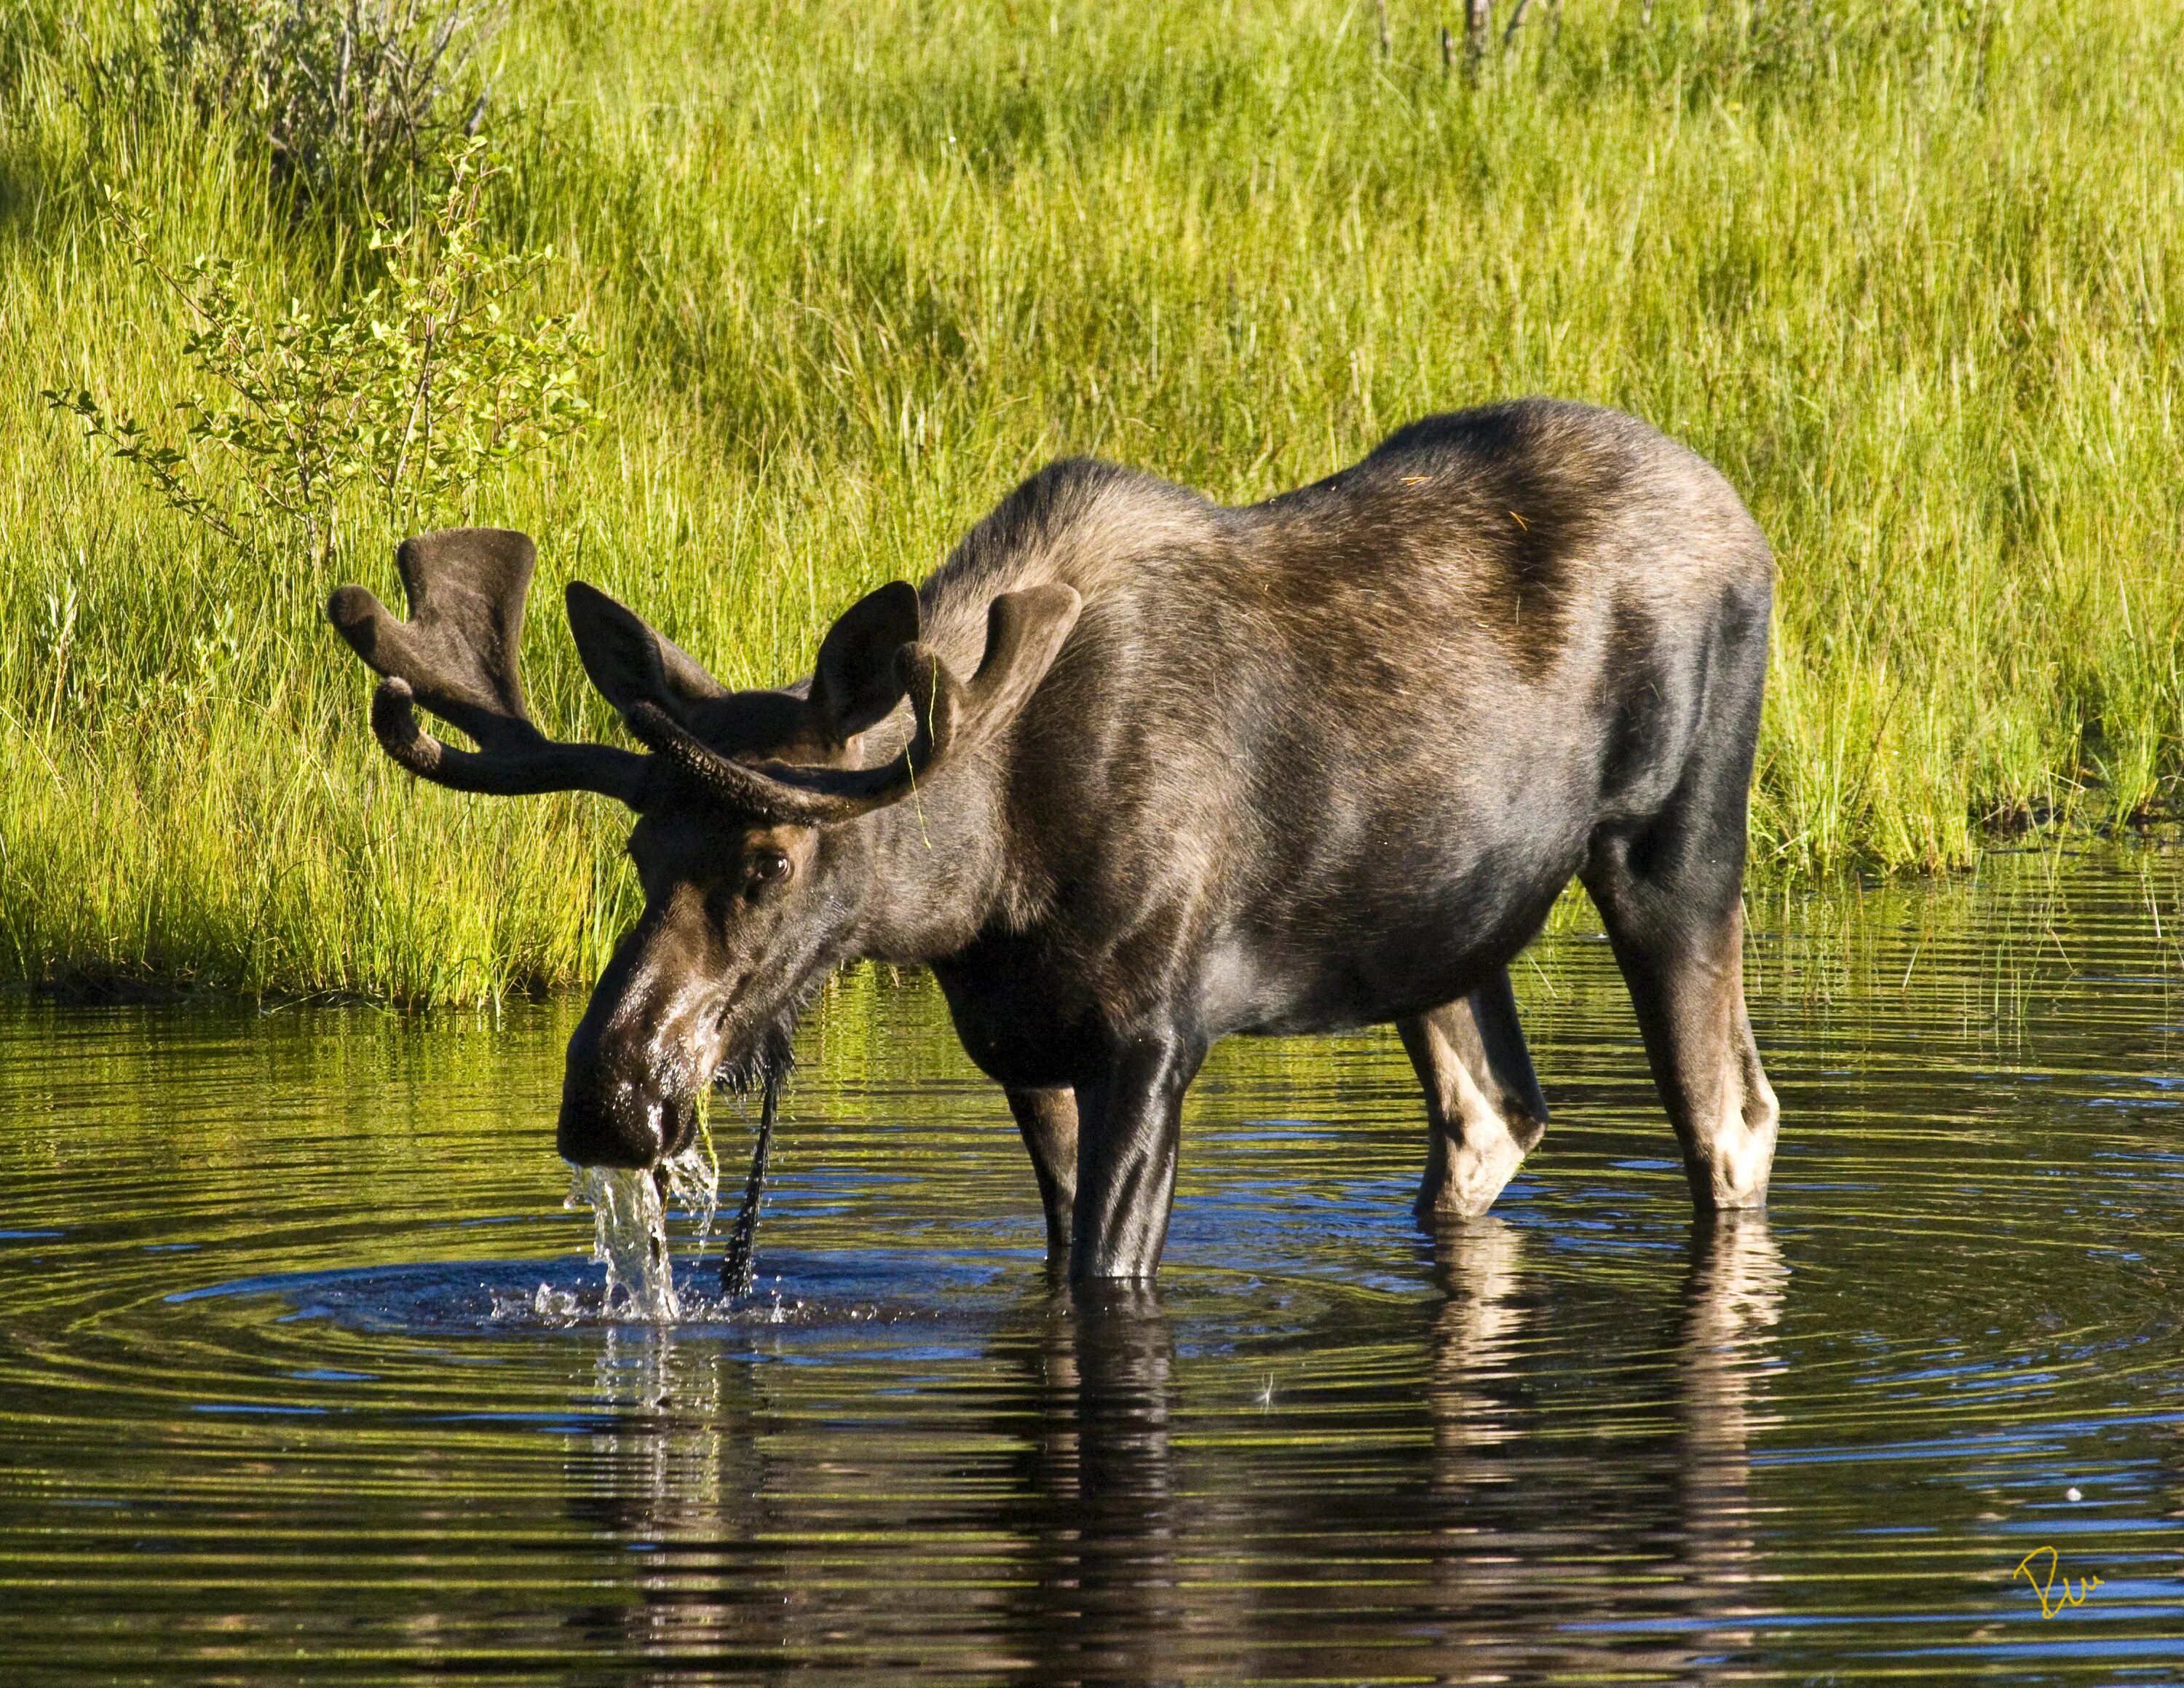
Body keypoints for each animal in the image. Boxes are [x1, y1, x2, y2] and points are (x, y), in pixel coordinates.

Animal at [332, 397, 1782, 1275]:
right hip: (1434, 925)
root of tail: (1749, 518)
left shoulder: (1156, 1039)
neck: (981, 886)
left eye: (771, 862)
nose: (609, 1095)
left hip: (1675, 844)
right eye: (638, 856)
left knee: (1732, 1116)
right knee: (1495, 1113)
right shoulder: (1023, 1049)